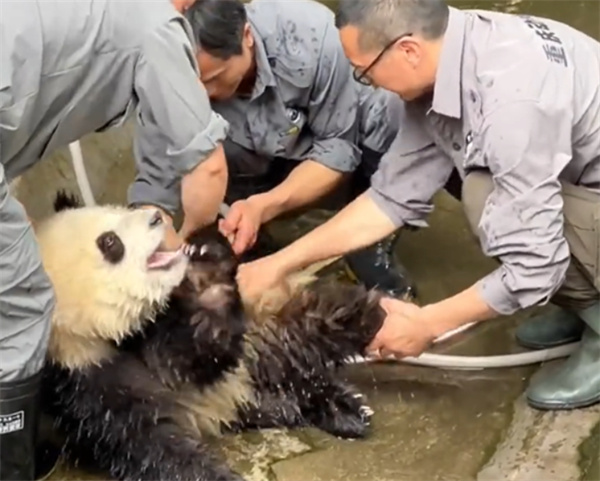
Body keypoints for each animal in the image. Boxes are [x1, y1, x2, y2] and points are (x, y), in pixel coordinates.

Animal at [36, 191, 384, 480]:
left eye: (116, 210)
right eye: (110, 243)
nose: (156, 217)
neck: (106, 338)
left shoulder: (157, 326)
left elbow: (196, 354)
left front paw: (206, 267)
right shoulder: (83, 386)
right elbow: (147, 443)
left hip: (258, 336)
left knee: (299, 332)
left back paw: (358, 333)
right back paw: (326, 406)